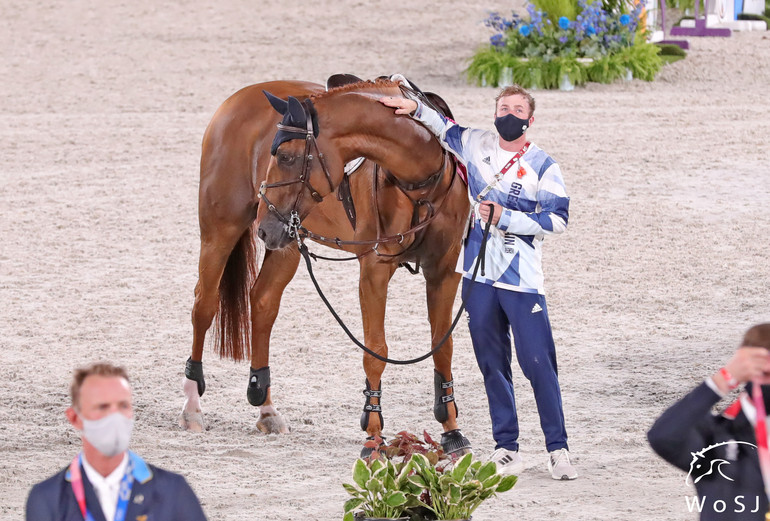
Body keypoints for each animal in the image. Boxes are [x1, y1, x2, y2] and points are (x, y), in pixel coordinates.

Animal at [183, 76, 468, 450]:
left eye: (286, 156)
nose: (264, 226)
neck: (421, 183)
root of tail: (236, 99)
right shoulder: (374, 271)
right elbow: (375, 350)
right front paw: (373, 434)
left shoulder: (444, 273)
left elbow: (443, 346)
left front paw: (452, 430)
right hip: (222, 229)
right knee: (204, 304)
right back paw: (192, 406)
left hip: (287, 241)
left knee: (263, 303)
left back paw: (267, 409)